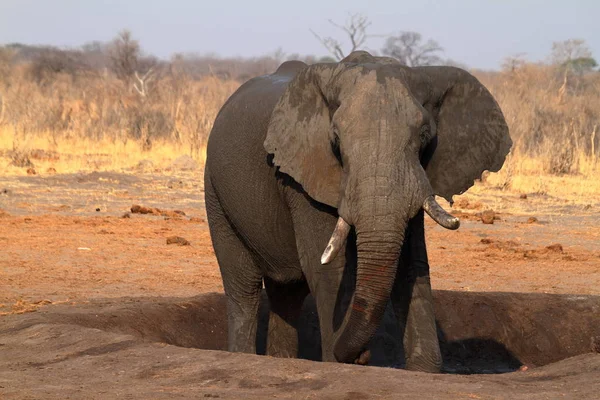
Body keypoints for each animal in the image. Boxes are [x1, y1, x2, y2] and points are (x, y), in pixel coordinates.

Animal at [203, 50, 510, 372]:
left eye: (425, 135)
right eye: (336, 139)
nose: (363, 355)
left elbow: (411, 264)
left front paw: (424, 369)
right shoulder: (304, 177)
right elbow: (328, 268)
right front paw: (341, 359)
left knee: (287, 294)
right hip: (215, 192)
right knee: (243, 286)